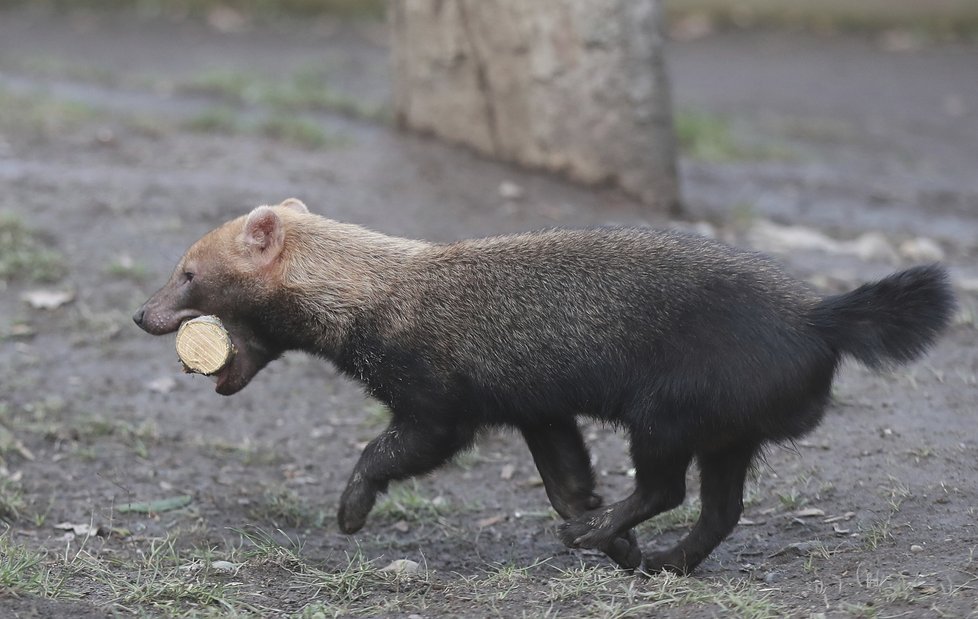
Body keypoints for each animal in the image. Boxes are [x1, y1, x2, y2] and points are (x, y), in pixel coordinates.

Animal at [133, 200, 948, 576]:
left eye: (188, 270)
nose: (144, 313)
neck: (380, 292)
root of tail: (820, 314)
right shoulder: (536, 405)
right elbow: (565, 476)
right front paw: (603, 531)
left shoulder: (437, 393)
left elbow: (398, 447)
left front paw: (351, 509)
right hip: (727, 426)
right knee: (719, 507)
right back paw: (654, 557)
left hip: (670, 406)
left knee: (668, 485)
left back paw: (609, 538)